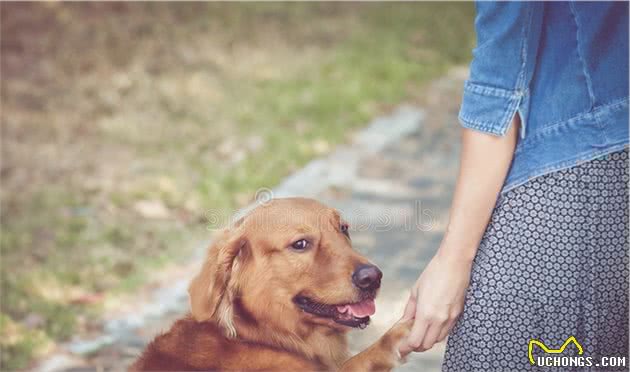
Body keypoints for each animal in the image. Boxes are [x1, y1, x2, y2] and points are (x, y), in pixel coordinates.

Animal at [131, 196, 412, 370]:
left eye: (343, 229)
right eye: (300, 244)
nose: (373, 277)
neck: (259, 334)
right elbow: (359, 360)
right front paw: (395, 337)